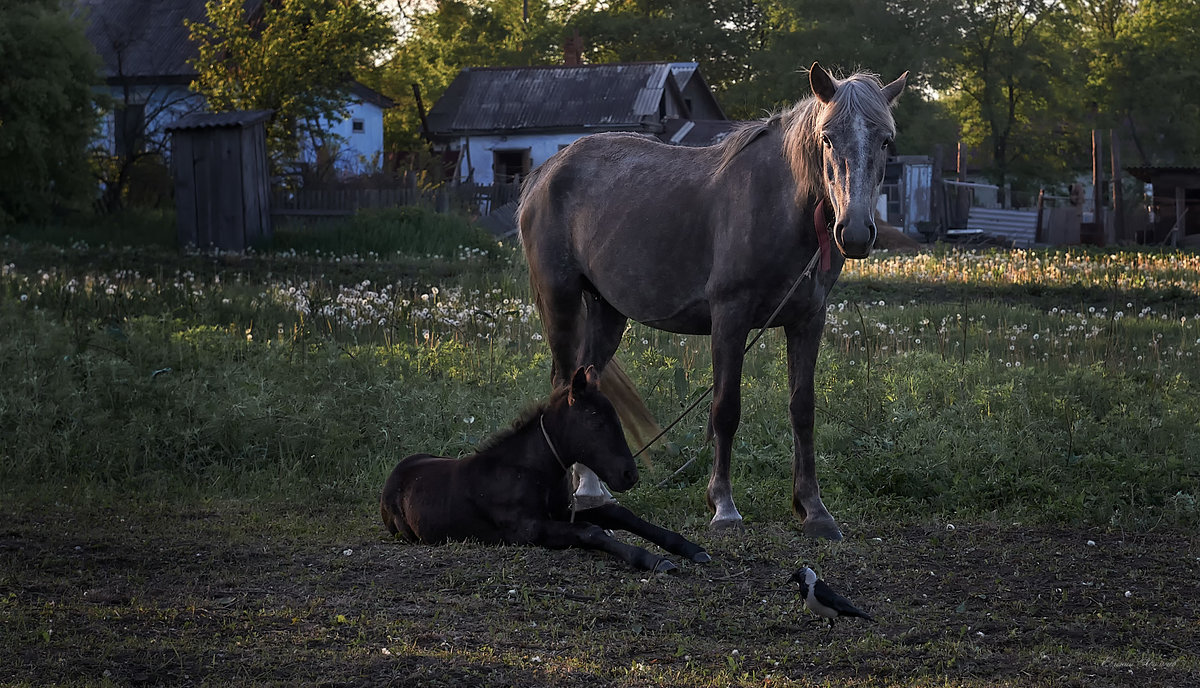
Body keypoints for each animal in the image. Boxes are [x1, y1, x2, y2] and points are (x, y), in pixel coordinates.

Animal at [379, 367, 705, 571]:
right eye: (596, 422)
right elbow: (591, 531)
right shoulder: (528, 529)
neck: (533, 471)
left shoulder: (562, 511)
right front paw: (651, 560)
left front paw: (689, 549)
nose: (629, 475)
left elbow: (619, 515)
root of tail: (395, 474)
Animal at [520, 63, 902, 535]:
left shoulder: (808, 319)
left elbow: (803, 409)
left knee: (586, 379)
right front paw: (723, 506)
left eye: (885, 140)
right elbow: (725, 410)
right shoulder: (730, 318)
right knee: (562, 383)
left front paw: (814, 509)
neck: (779, 206)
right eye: (828, 137)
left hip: (607, 311)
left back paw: (593, 491)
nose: (855, 231)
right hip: (562, 301)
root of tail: (546, 171)